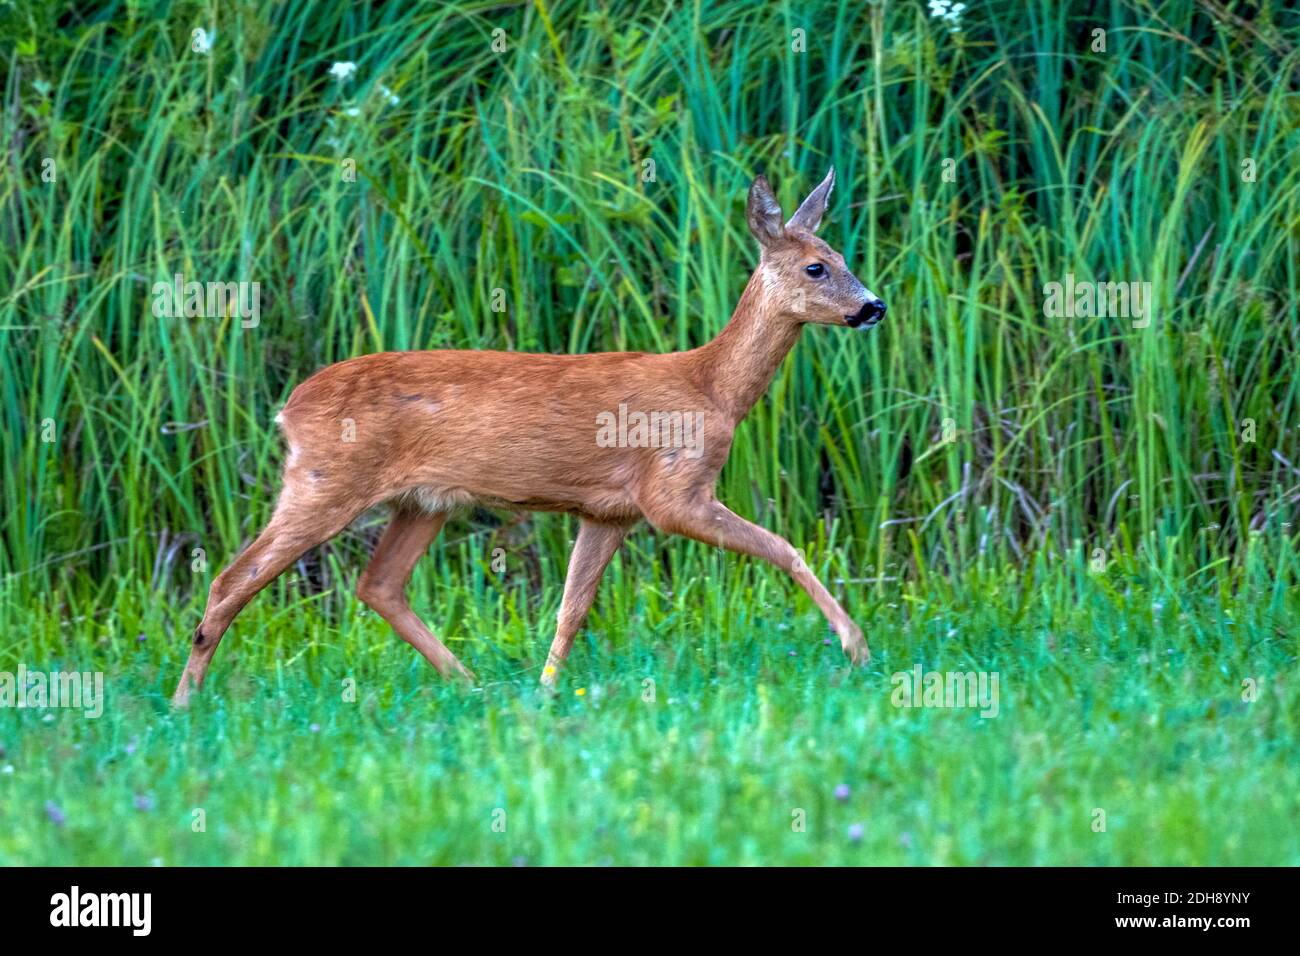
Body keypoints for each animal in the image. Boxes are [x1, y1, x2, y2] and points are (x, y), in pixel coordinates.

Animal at [172, 167, 883, 707]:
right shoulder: (672, 492)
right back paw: (184, 701)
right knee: (232, 579)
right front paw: (858, 647)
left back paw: (469, 682)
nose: (873, 306)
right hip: (326, 480)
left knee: (378, 584)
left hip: (422, 500)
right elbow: (784, 547)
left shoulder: (609, 511)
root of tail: (289, 410)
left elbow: (573, 608)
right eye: (817, 267)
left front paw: (546, 691)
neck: (712, 389)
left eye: (846, 259)